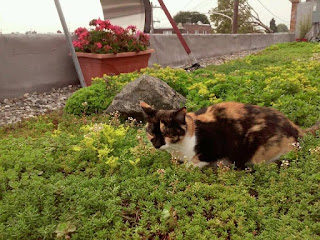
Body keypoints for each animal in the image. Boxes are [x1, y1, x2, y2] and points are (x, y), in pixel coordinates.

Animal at [141, 101, 320, 169]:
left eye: (167, 132)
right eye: (151, 132)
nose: (156, 144)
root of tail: (296, 127)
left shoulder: (215, 145)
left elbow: (194, 162)